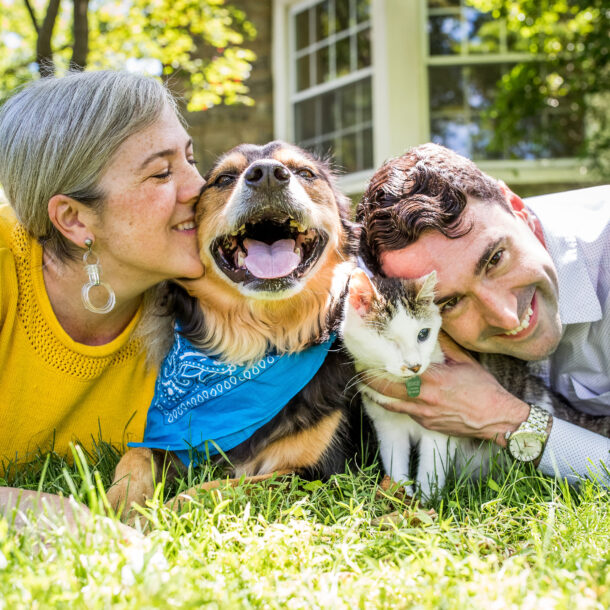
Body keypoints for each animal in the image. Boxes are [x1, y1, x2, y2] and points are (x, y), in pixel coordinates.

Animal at [107, 140, 358, 510]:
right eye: (224, 179)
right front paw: (114, 504)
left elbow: (219, 488)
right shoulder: (171, 442)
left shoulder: (322, 475)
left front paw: (163, 513)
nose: (267, 174)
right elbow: (134, 456)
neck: (260, 341)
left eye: (304, 172)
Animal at [338, 268, 608, 496]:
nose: (414, 365)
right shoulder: (387, 425)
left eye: (423, 334)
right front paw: (400, 497)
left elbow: (431, 469)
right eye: (389, 342)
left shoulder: (440, 430)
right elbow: (396, 464)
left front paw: (426, 504)